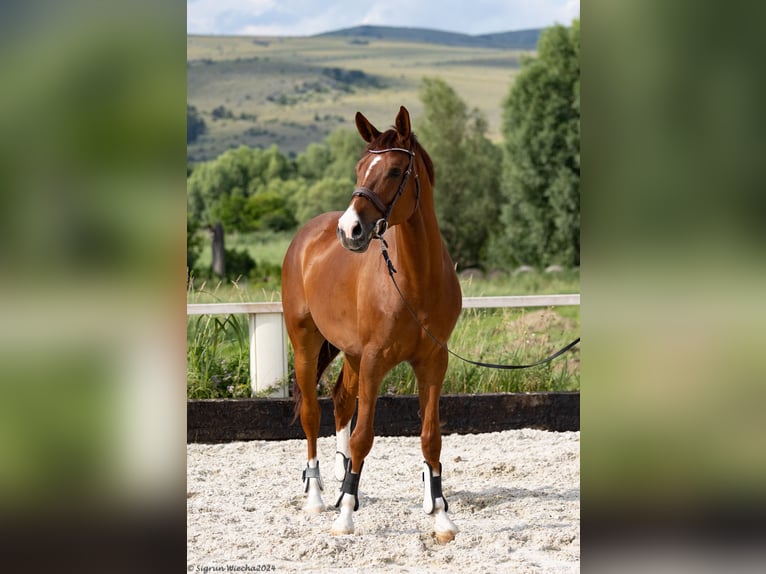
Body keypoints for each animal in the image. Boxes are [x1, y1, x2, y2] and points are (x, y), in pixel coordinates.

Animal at [282, 107, 462, 544]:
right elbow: (364, 436)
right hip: (306, 344)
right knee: (311, 413)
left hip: (350, 354)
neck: (415, 279)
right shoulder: (376, 361)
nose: (350, 231)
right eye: (360, 168)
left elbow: (431, 437)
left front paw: (440, 516)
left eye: (395, 170)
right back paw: (316, 496)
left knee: (340, 402)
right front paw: (345, 515)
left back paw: (341, 478)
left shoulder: (433, 362)